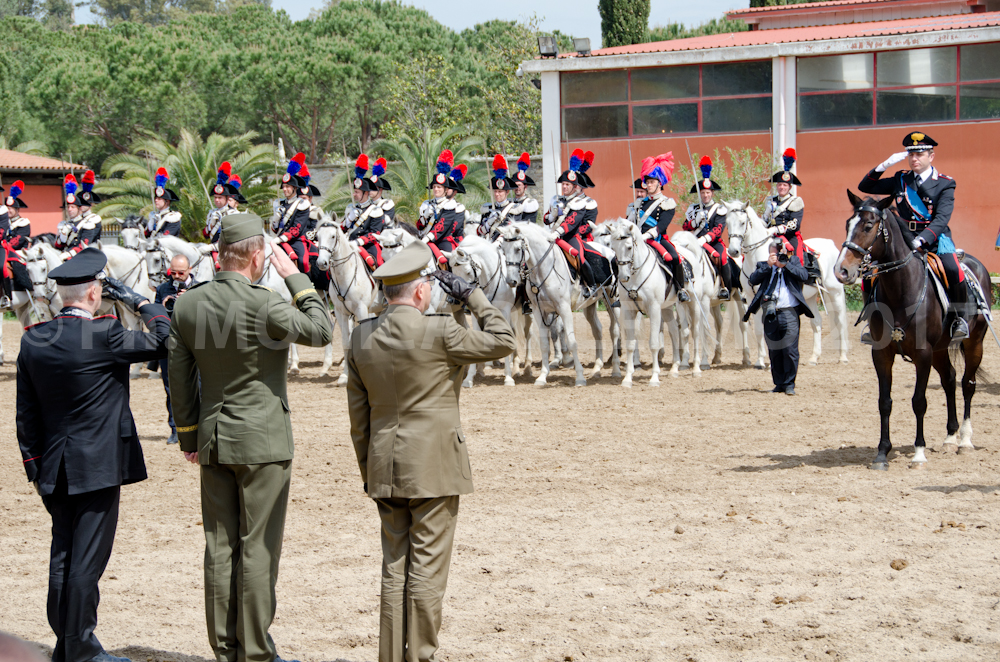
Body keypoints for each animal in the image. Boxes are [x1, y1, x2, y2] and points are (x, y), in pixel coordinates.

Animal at [498, 222, 621, 386]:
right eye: (504, 250)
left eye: (518, 248)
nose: (511, 281)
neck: (544, 269)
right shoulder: (539, 311)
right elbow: (545, 343)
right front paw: (542, 376)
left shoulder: (564, 308)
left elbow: (572, 341)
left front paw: (580, 377)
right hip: (590, 305)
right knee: (598, 330)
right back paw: (597, 368)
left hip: (613, 301)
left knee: (614, 331)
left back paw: (616, 369)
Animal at [607, 219, 702, 385]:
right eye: (613, 248)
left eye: (629, 247)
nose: (623, 277)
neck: (637, 274)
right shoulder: (628, 310)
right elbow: (630, 344)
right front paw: (627, 378)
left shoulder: (654, 309)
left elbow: (653, 343)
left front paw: (654, 378)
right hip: (667, 308)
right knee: (674, 331)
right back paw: (674, 368)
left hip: (693, 304)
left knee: (695, 332)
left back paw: (696, 369)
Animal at [726, 202, 850, 368]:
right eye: (727, 223)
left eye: (742, 222)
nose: (733, 251)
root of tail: (831, 244)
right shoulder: (753, 297)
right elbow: (759, 329)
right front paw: (760, 360)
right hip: (810, 297)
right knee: (816, 322)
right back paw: (814, 357)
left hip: (834, 292)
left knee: (841, 322)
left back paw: (843, 357)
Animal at [834, 191, 992, 470]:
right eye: (847, 224)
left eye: (868, 225)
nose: (841, 270)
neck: (901, 290)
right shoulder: (882, 354)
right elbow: (884, 402)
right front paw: (882, 452)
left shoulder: (923, 354)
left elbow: (919, 401)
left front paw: (919, 452)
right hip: (940, 350)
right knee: (949, 379)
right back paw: (950, 438)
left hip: (974, 343)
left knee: (967, 383)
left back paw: (964, 440)